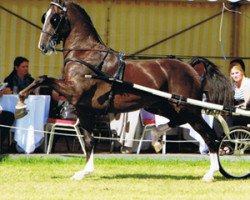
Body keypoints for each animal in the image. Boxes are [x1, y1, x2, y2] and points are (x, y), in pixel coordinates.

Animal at [16, 0, 233, 181]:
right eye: (44, 17)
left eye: (54, 18)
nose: (42, 46)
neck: (86, 54)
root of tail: (191, 68)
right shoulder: (83, 108)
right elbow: (89, 141)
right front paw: (85, 171)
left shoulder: (74, 92)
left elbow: (43, 78)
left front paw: (20, 103)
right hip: (162, 105)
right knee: (178, 122)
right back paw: (156, 138)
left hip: (188, 108)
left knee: (209, 135)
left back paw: (211, 173)